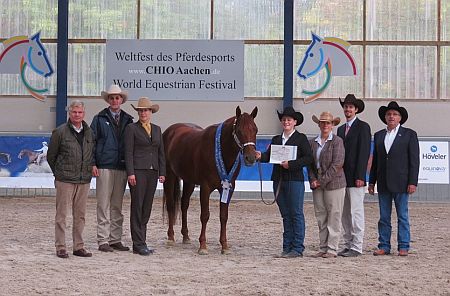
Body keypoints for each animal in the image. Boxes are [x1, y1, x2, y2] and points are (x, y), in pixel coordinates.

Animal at [163, 106, 258, 254]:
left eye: (255, 130)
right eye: (239, 131)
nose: (251, 158)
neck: (220, 151)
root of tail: (170, 131)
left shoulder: (228, 187)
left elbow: (223, 216)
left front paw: (224, 246)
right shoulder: (205, 187)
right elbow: (205, 215)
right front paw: (203, 246)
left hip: (189, 181)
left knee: (184, 205)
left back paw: (186, 236)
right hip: (169, 176)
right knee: (171, 205)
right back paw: (171, 237)